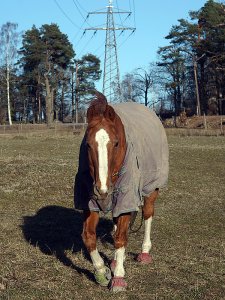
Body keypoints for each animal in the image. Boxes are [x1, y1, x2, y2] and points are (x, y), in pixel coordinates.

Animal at [74, 92, 168, 292]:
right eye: (88, 144)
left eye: (116, 143)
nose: (101, 189)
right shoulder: (89, 202)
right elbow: (89, 237)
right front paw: (102, 271)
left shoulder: (127, 196)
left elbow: (120, 238)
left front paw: (117, 277)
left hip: (151, 188)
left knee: (147, 214)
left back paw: (144, 252)